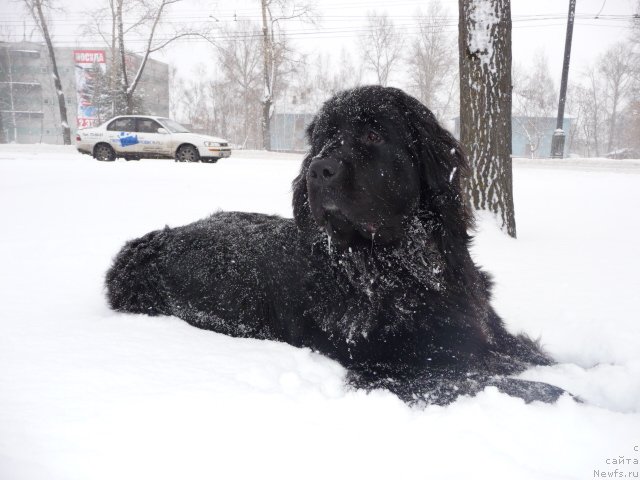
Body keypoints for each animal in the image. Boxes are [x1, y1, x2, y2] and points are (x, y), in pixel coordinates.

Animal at [106, 85, 564, 404]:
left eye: (374, 135)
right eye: (322, 139)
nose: (318, 169)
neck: (407, 266)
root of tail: (152, 239)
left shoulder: (485, 332)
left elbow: (543, 359)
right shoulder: (396, 368)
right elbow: (519, 384)